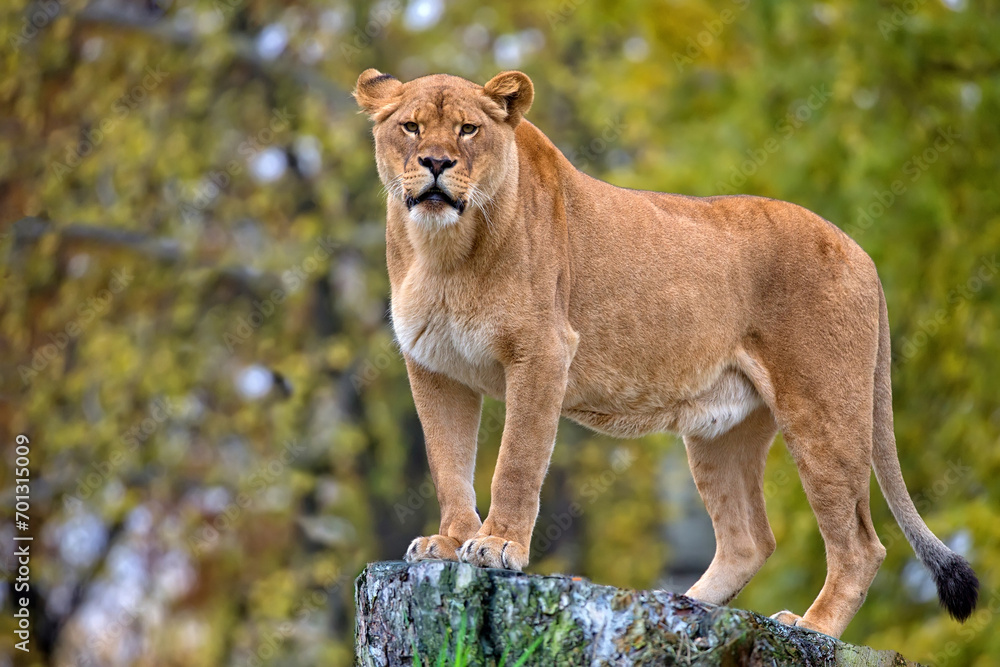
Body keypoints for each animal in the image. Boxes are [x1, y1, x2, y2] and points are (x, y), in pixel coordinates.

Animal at [353, 68, 978, 638]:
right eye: (411, 127)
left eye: (468, 129)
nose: (437, 164)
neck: (444, 251)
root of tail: (861, 253)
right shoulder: (434, 370)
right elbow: (448, 463)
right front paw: (451, 541)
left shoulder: (543, 353)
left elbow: (517, 461)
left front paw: (498, 544)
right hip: (722, 432)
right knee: (750, 540)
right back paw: (688, 606)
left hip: (823, 413)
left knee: (861, 545)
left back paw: (810, 625)